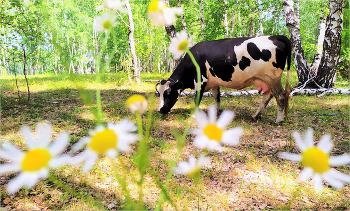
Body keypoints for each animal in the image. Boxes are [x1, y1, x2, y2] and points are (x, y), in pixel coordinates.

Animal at [157, 35, 292, 123]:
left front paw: (194, 115)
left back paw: (278, 120)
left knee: (280, 96)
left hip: (272, 78)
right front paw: (219, 111)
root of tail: (275, 36)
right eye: (159, 93)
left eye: (168, 94)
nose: (160, 110)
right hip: (266, 80)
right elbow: (217, 96)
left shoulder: (200, 80)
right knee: (268, 96)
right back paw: (256, 116)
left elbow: (197, 99)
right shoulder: (214, 82)